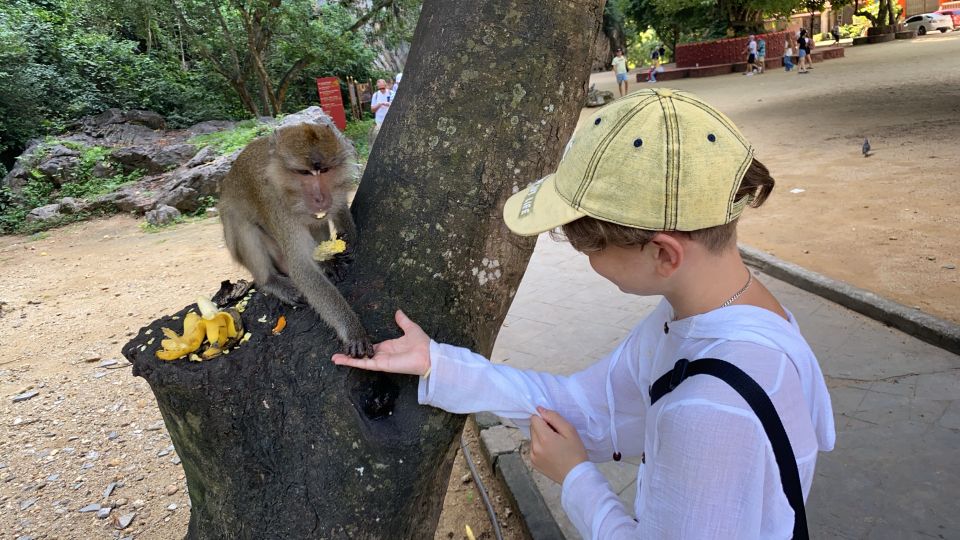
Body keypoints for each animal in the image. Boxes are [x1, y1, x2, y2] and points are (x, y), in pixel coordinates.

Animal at [218, 122, 372, 358]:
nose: (320, 198)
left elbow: (336, 210)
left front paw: (348, 239)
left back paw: (325, 262)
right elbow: (301, 268)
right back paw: (270, 281)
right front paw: (352, 330)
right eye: (304, 173)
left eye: (324, 171)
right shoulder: (277, 206)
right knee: (241, 223)